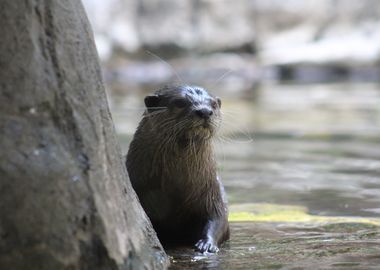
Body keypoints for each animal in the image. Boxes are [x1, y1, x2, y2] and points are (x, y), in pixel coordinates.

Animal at [126, 85, 230, 253]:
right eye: (180, 102)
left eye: (213, 104)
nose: (204, 111)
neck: (177, 188)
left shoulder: (212, 191)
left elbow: (219, 218)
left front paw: (207, 244)